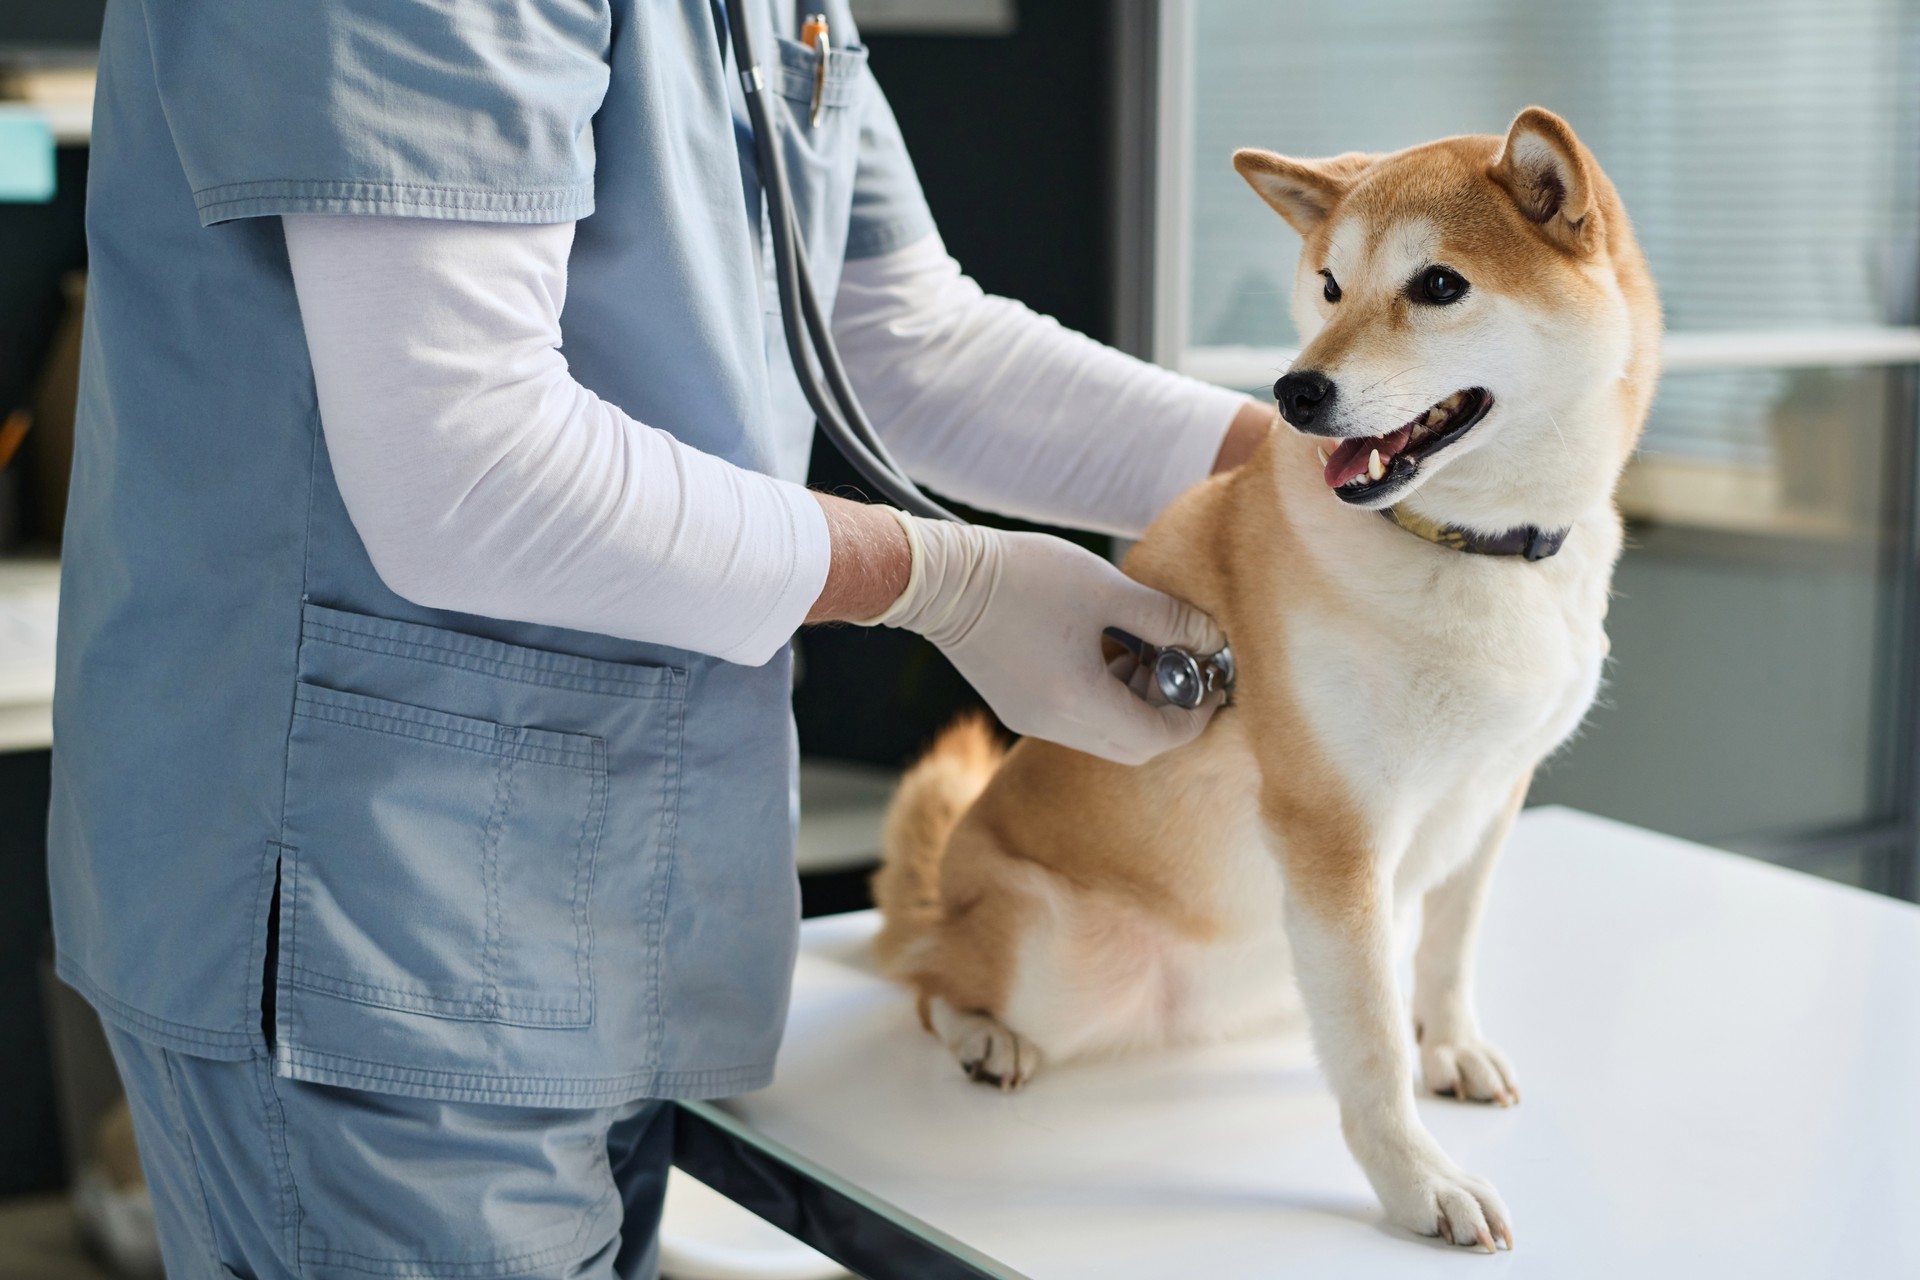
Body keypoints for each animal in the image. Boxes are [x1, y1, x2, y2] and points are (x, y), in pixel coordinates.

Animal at [879, 110, 1658, 1251]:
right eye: (1330, 285)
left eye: (1439, 285)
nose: (1296, 393)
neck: (1470, 548)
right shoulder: (1334, 830)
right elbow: (1371, 1050)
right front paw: (1417, 1179)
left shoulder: (1492, 796)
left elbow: (1446, 950)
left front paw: (1449, 1043)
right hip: (1050, 951)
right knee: (928, 981)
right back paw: (984, 1034)